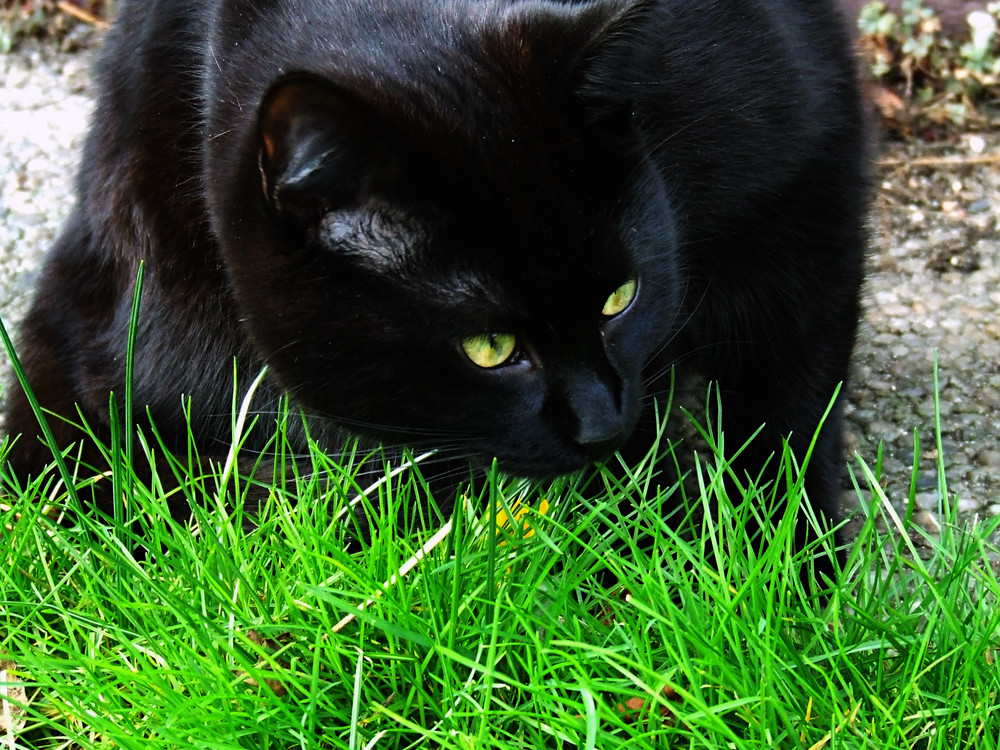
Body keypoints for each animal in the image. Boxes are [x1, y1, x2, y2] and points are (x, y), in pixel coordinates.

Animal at [3, 1, 868, 568]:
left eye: (619, 300)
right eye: (489, 347)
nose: (600, 425)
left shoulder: (805, 178)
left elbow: (788, 408)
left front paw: (783, 577)